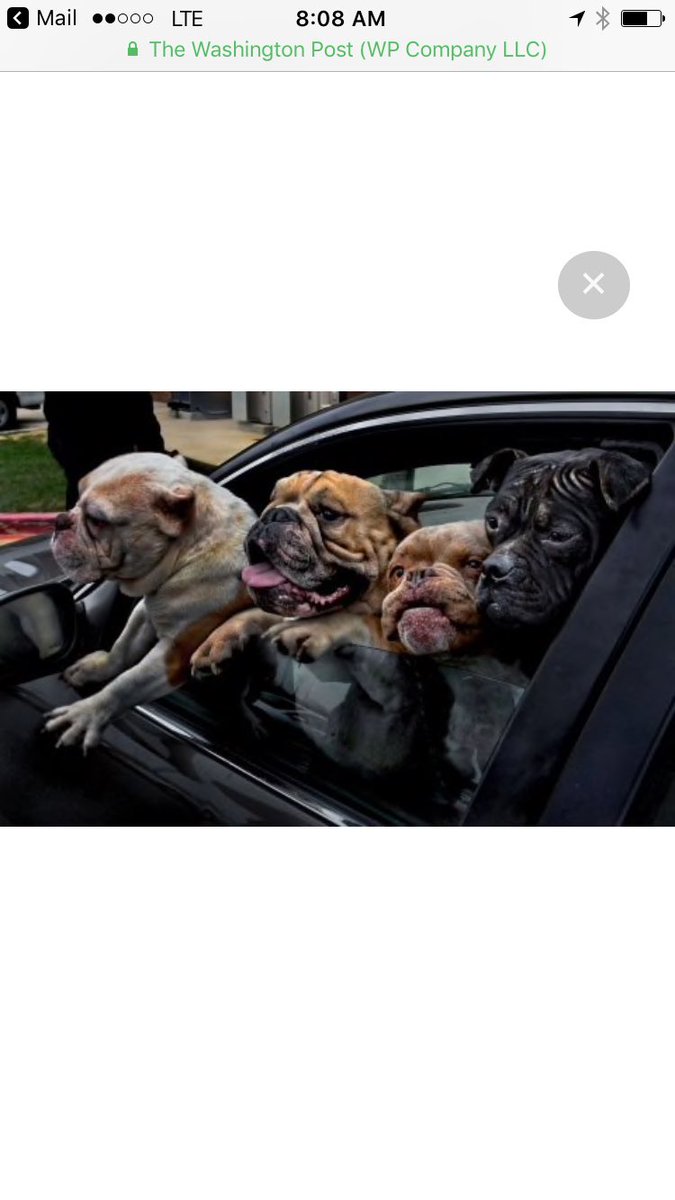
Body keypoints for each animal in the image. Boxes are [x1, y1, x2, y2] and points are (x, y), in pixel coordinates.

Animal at [45, 452, 256, 751]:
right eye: (76, 497)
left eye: (97, 520)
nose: (60, 520)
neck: (189, 551)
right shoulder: (144, 612)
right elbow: (122, 649)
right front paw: (96, 669)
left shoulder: (173, 655)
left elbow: (126, 684)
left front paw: (86, 714)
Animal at [191, 469, 423, 673]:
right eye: (271, 501)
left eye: (329, 514)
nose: (274, 513)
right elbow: (252, 613)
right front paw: (218, 639)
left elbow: (361, 620)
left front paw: (313, 627)